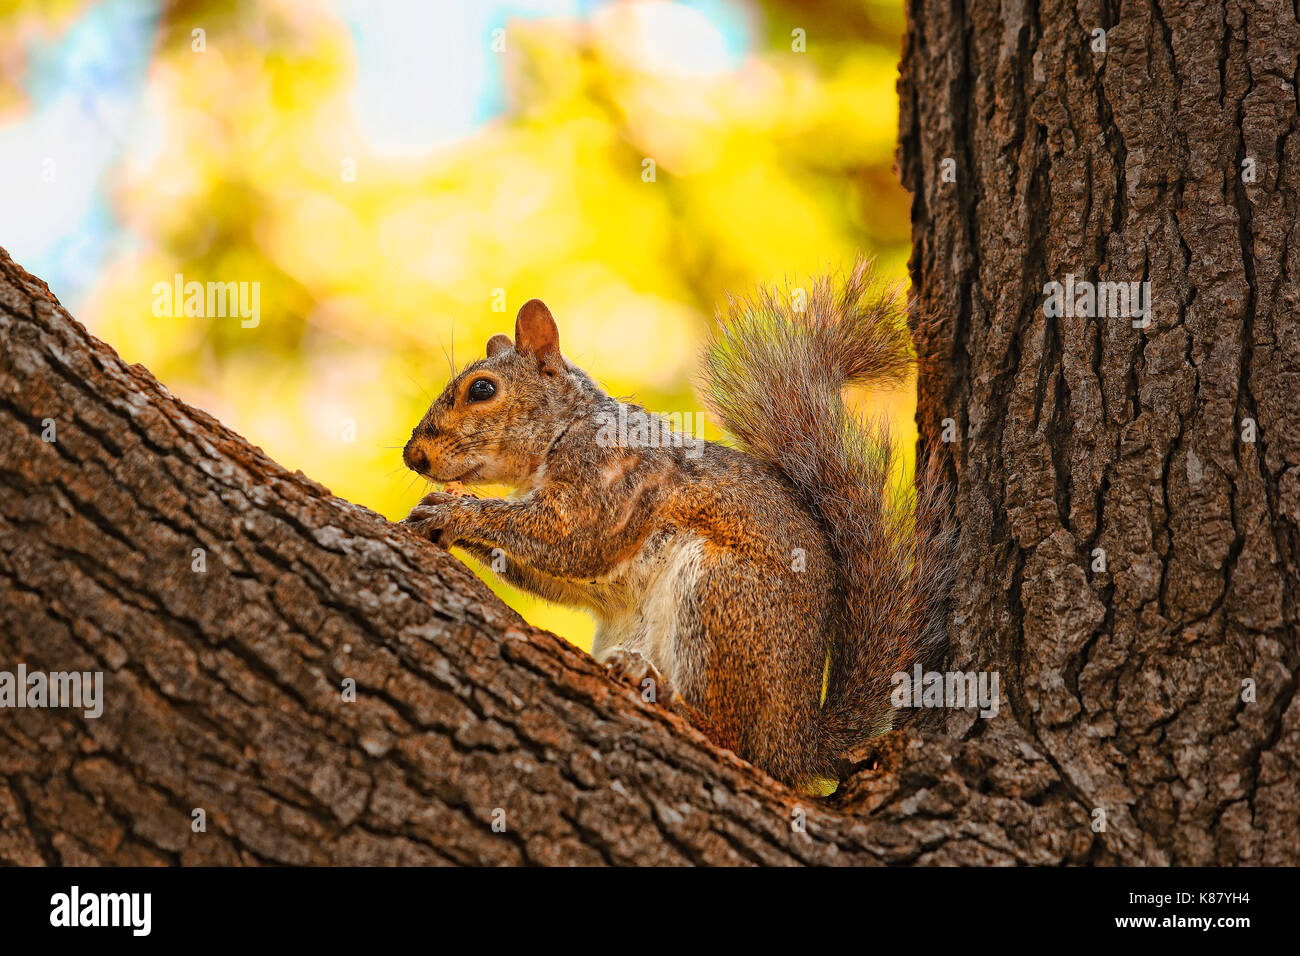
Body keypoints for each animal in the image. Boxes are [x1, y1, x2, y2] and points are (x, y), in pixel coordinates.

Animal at [403, 261, 956, 790]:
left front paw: (455, 511)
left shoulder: (612, 485)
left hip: (720, 592)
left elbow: (573, 539)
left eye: (482, 389)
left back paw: (668, 698)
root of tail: (796, 742)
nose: (413, 456)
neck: (568, 429)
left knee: (735, 741)